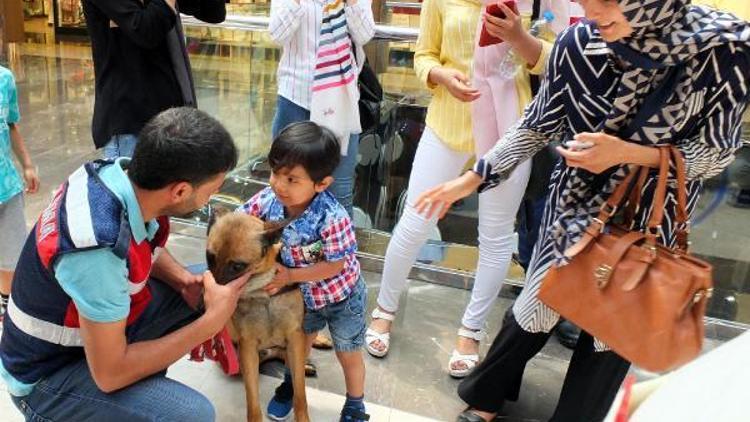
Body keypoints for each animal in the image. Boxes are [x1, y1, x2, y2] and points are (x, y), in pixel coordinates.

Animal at [206, 211, 308, 422]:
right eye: (209, 257)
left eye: (237, 266)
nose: (206, 303)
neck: (262, 292)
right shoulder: (248, 349)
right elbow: (253, 402)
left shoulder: (295, 337)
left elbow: (300, 394)